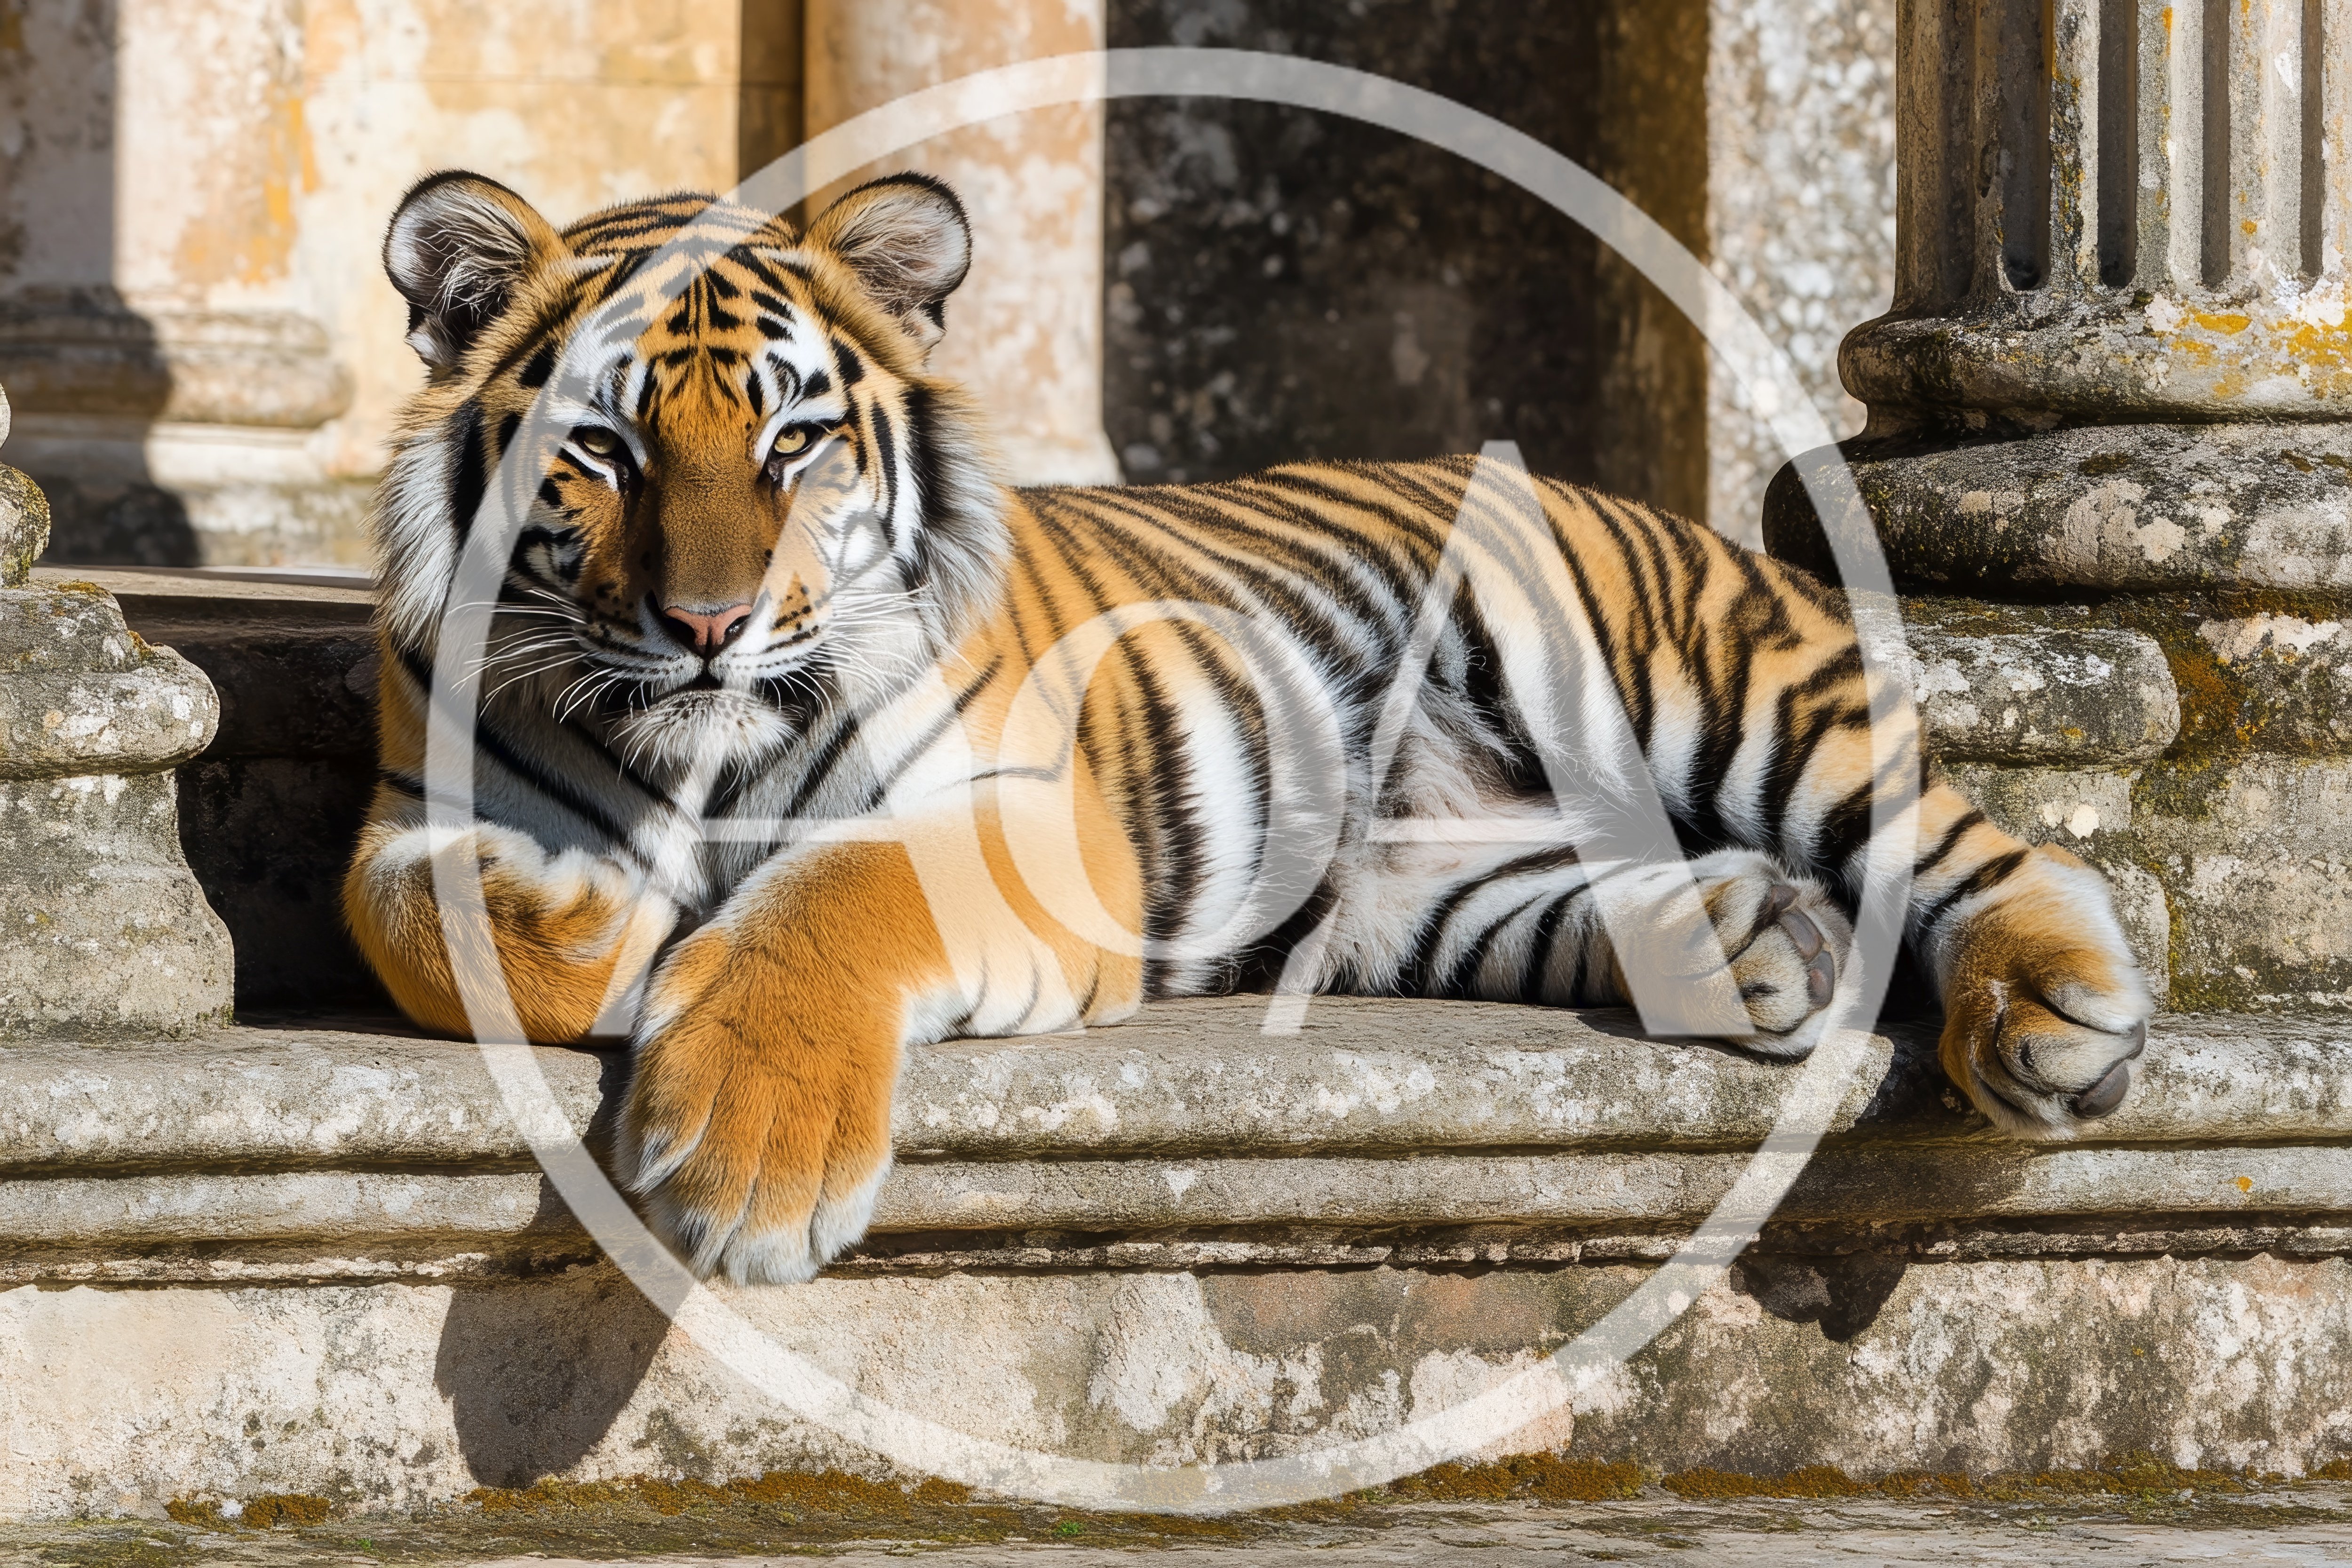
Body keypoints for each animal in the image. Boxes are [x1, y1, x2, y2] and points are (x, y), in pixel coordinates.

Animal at [344, 169, 2155, 1285]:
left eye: (794, 440)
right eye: (603, 448)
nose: (709, 627)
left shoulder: (1025, 820)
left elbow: (838, 889)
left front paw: (745, 1161)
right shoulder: (405, 813)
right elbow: (424, 919)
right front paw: (594, 917)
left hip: (1706, 677)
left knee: (1974, 832)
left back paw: (2048, 1012)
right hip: (1415, 891)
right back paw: (1752, 938)